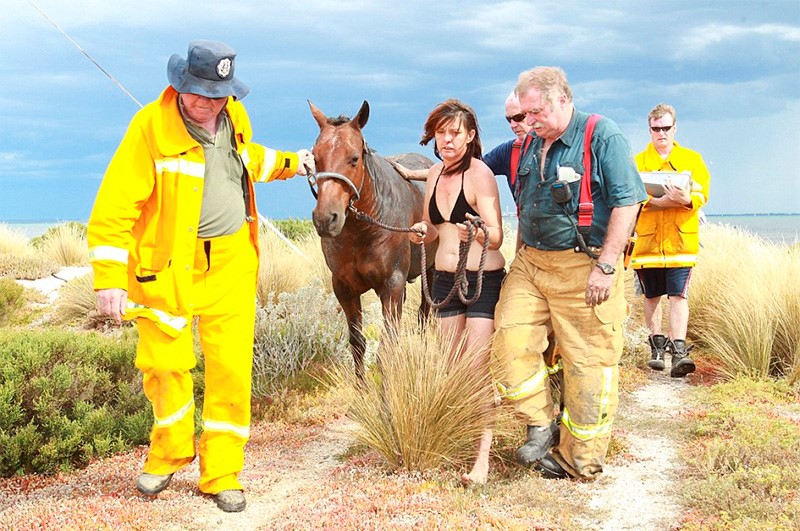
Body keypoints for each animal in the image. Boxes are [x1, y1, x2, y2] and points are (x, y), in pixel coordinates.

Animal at [308, 101, 434, 378]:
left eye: (354, 158)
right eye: (315, 157)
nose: (325, 219)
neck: (363, 231)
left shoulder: (391, 286)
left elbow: (387, 347)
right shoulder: (344, 288)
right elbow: (357, 342)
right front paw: (361, 385)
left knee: (425, 316)